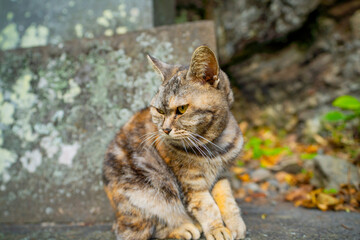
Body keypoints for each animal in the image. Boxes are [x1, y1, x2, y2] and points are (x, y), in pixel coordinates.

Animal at [102, 45, 246, 240]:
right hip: (143, 191)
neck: (214, 146)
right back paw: (183, 228)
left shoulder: (222, 175)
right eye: (159, 111)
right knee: (144, 225)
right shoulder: (191, 183)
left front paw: (235, 225)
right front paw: (217, 229)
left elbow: (227, 199)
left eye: (182, 109)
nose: (165, 129)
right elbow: (207, 207)